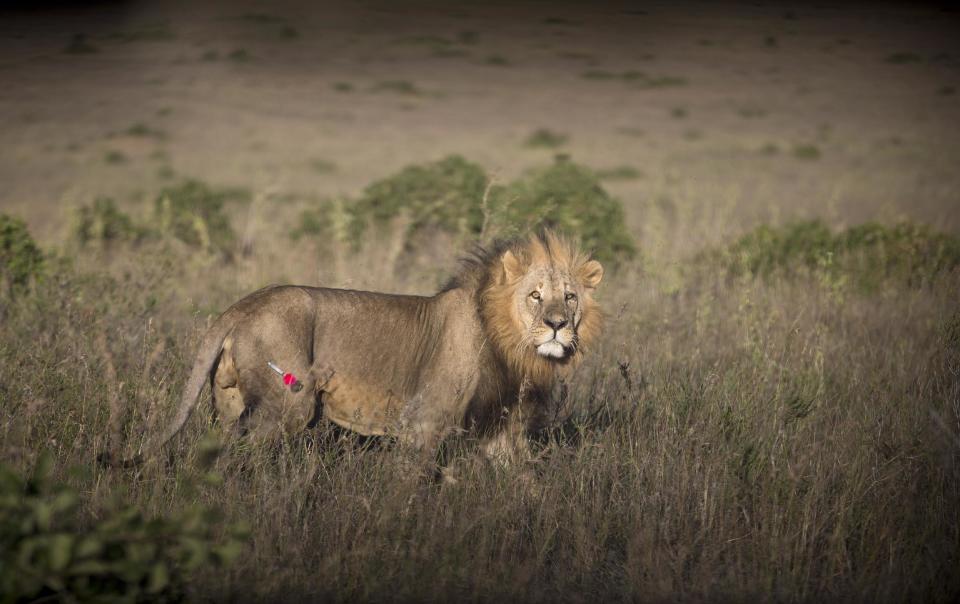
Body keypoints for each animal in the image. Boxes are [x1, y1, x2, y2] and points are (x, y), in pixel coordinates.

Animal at [138, 229, 600, 464]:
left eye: (569, 297)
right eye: (535, 296)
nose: (557, 325)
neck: (508, 342)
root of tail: (238, 307)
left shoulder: (497, 429)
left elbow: (525, 483)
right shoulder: (424, 423)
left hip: (230, 401)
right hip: (291, 403)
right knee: (239, 451)